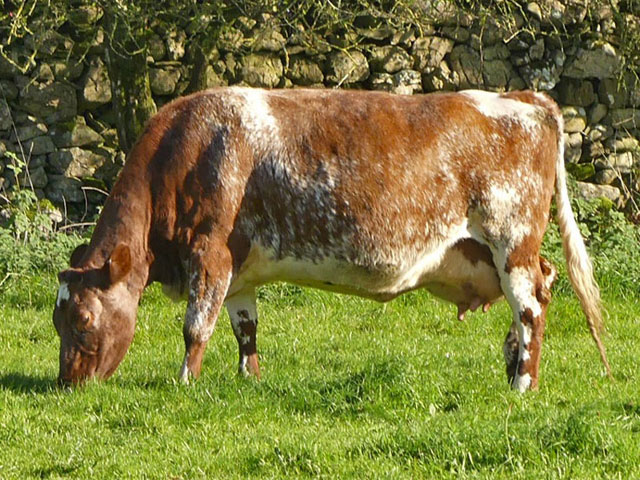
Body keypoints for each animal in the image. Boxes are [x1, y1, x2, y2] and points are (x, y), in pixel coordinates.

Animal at [53, 87, 611, 392]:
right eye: (56, 322)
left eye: (82, 320)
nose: (67, 385)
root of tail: (523, 98)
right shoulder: (238, 269)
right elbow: (244, 328)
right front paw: (248, 379)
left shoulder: (208, 254)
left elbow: (196, 327)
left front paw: (186, 383)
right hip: (496, 251)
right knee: (539, 290)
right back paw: (512, 364)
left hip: (511, 238)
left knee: (532, 304)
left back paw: (522, 383)